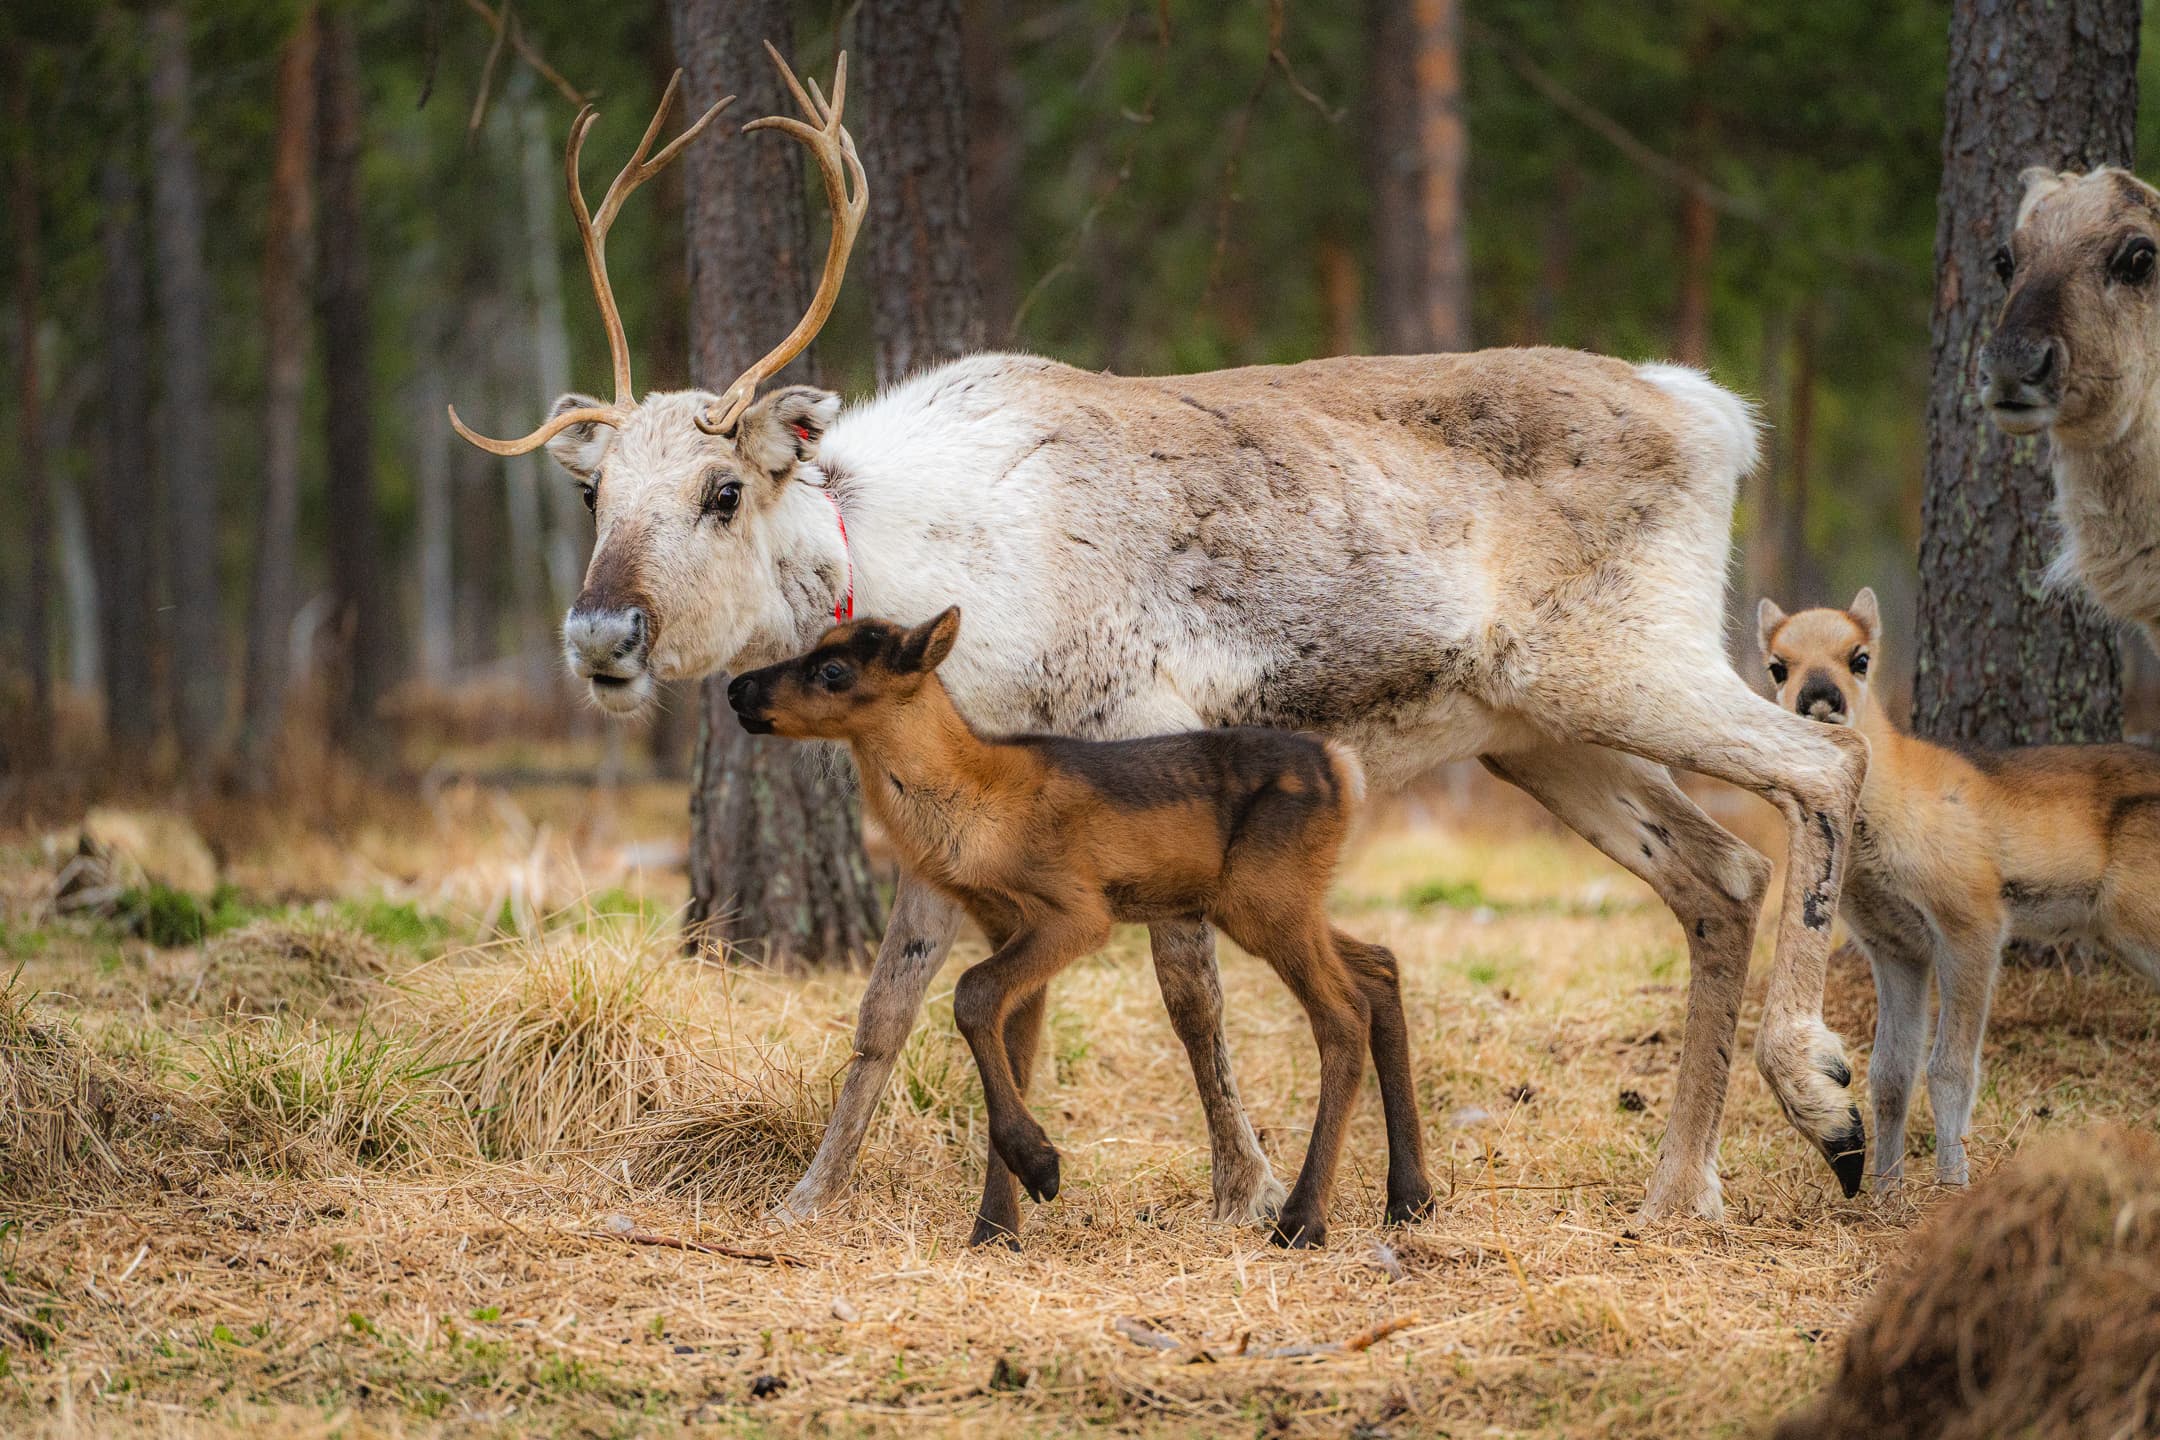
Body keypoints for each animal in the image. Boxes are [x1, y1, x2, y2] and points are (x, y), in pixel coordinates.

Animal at [727, 608, 1427, 1248]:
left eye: (834, 670)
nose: (738, 688)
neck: (977, 807)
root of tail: (1344, 768)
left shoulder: (1076, 909)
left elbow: (971, 994)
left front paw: (1039, 1167)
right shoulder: (1004, 926)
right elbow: (1013, 1050)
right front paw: (995, 1227)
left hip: (1266, 899)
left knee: (1342, 1013)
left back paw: (1304, 1221)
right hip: (1277, 898)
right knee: (1380, 964)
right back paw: (1409, 1198)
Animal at [1759, 590, 2160, 1189]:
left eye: (1860, 657)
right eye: (1778, 666)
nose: (1821, 699)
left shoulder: (1973, 924)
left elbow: (1949, 1067)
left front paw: (1952, 1184)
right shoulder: (1894, 947)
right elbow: (1890, 1073)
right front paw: (1885, 1191)